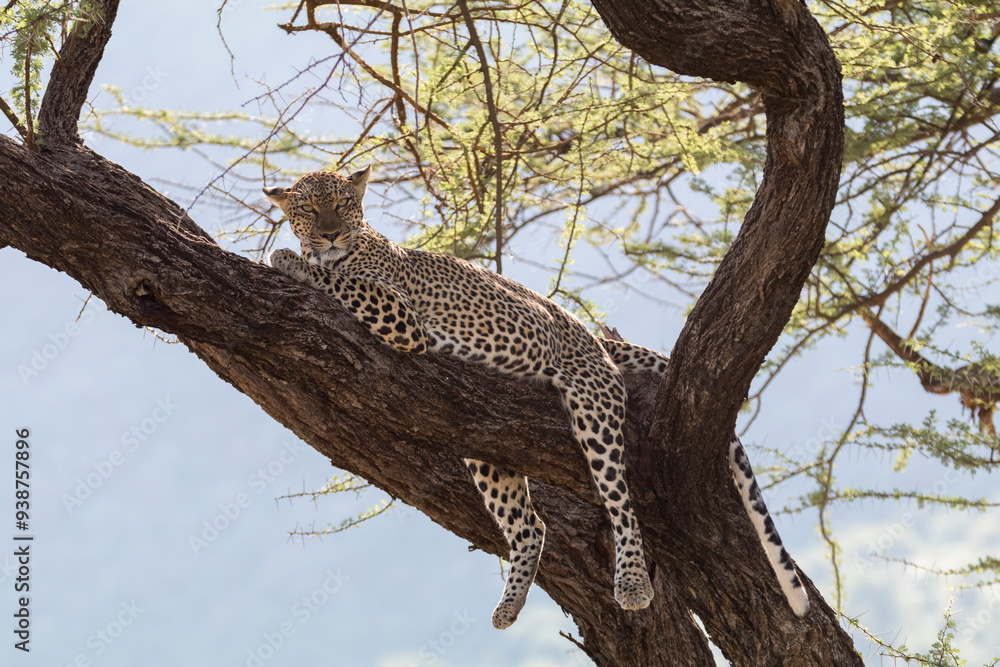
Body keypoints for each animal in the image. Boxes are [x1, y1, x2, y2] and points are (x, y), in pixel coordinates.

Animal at [263, 166, 810, 628]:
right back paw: (509, 605)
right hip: (485, 442)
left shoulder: (401, 317)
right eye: (308, 209)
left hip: (593, 403)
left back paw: (632, 583)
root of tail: (590, 333)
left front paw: (287, 258)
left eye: (341, 204)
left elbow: (339, 278)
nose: (330, 234)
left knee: (620, 498)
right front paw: (297, 254)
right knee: (532, 527)